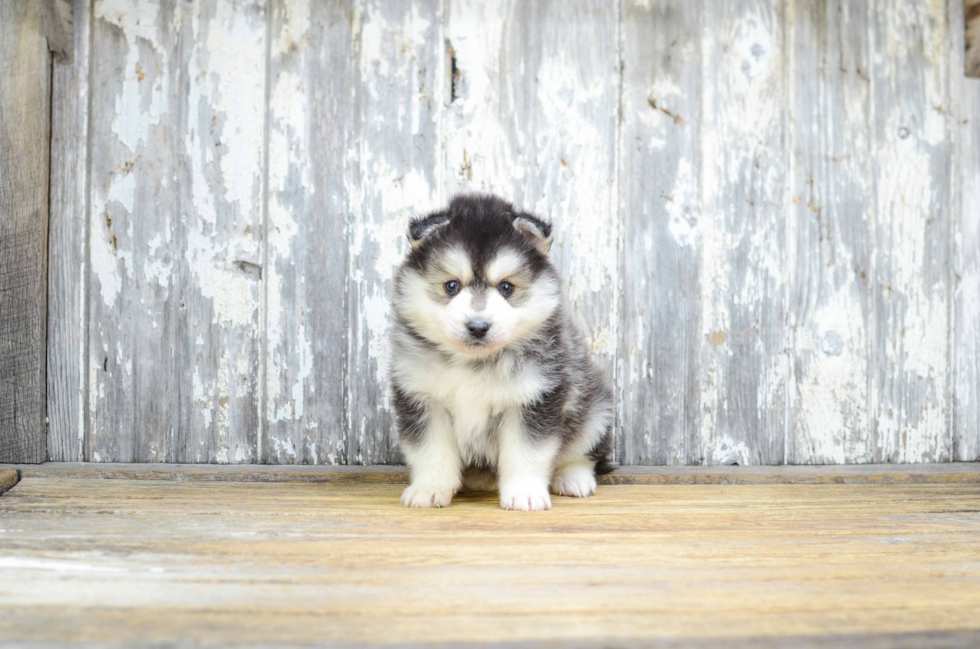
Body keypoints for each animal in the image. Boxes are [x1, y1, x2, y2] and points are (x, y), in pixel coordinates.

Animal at [388, 195, 612, 508]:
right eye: (451, 285)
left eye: (506, 287)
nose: (478, 326)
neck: (474, 363)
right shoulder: (422, 399)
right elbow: (431, 452)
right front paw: (429, 489)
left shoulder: (533, 399)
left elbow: (527, 453)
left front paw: (524, 494)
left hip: (595, 410)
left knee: (581, 453)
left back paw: (572, 479)